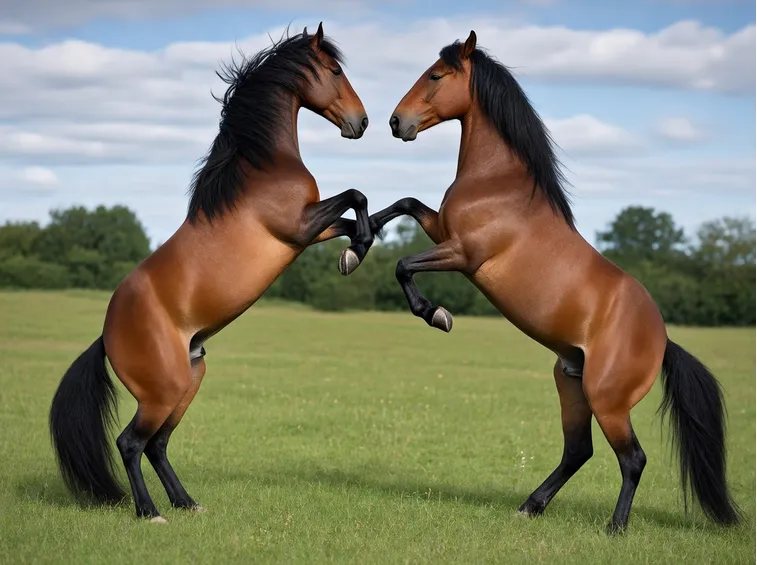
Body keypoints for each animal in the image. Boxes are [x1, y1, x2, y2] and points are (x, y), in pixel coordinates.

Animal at [49, 24, 376, 523]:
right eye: (335, 70)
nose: (362, 123)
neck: (261, 165)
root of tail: (106, 336)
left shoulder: (308, 231)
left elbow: (362, 213)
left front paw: (357, 250)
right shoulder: (298, 225)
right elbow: (357, 197)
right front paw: (355, 252)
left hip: (189, 380)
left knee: (158, 444)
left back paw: (187, 503)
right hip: (162, 391)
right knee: (131, 443)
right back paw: (151, 512)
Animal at [364, 31, 741, 534]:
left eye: (436, 76)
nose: (394, 122)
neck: (498, 182)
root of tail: (663, 340)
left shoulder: (463, 254)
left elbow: (404, 265)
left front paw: (435, 314)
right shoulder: (443, 231)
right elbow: (404, 204)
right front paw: (359, 239)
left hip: (608, 400)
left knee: (633, 459)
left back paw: (615, 528)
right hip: (571, 384)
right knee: (579, 451)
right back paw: (531, 505)